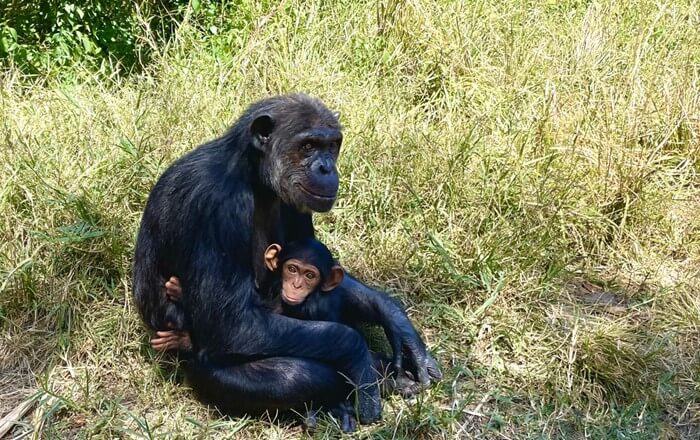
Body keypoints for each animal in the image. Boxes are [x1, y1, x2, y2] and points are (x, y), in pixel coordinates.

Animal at [133, 94, 438, 424]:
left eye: (332, 145)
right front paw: (360, 358)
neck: (253, 175)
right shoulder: (216, 205)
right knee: (293, 375)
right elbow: (232, 325)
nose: (325, 167)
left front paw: (399, 325)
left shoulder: (296, 202)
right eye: (308, 145)